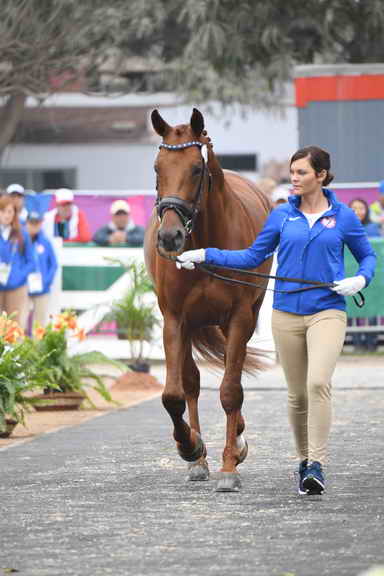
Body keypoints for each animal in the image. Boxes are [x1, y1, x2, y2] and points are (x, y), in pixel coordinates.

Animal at [145, 108, 272, 490]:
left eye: (196, 169)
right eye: (157, 167)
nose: (169, 237)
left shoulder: (240, 317)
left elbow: (231, 390)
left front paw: (230, 466)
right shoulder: (175, 319)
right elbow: (174, 394)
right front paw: (190, 447)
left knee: (233, 377)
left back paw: (237, 443)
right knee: (191, 383)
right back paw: (198, 458)